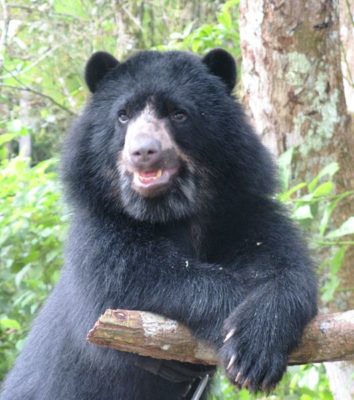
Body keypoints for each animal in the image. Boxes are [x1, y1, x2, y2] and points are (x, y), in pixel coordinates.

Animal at [0, 48, 316, 398]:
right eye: (123, 115)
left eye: (178, 114)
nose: (143, 152)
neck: (170, 210)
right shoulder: (100, 233)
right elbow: (136, 280)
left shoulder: (241, 210)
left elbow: (287, 266)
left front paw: (254, 348)